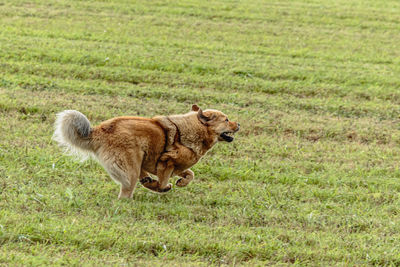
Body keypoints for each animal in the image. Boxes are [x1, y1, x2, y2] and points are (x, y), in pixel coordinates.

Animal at [54, 104, 239, 199]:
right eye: (227, 120)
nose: (238, 124)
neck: (194, 130)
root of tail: (101, 130)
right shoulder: (166, 162)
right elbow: (164, 182)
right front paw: (161, 187)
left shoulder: (177, 166)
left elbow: (190, 174)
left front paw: (181, 182)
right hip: (130, 167)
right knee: (126, 191)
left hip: (136, 161)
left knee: (139, 176)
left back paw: (146, 181)